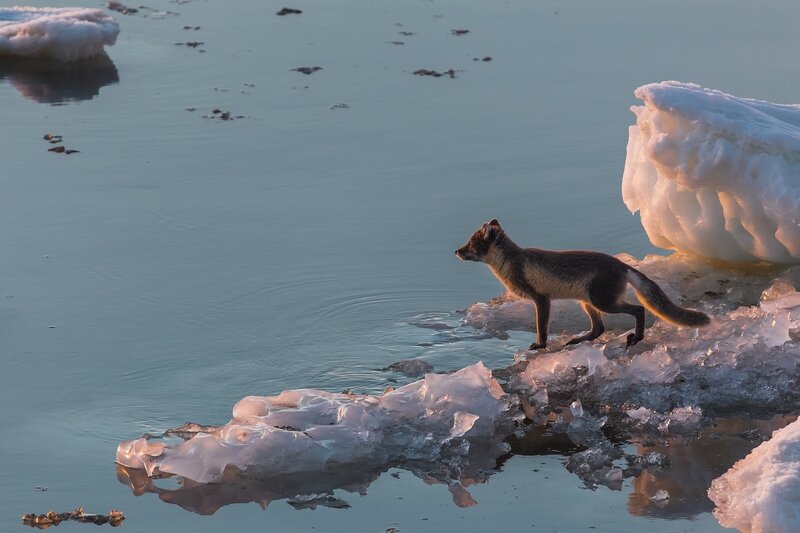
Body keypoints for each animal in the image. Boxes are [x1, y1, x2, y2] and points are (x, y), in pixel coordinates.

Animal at [455, 219, 710, 350]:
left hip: (603, 302)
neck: (511, 262)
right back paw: (576, 340)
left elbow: (541, 327)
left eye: (470, 244)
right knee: (599, 329)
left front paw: (540, 345)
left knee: (638, 310)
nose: (456, 251)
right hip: (587, 303)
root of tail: (621, 264)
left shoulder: (541, 299)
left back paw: (636, 338)